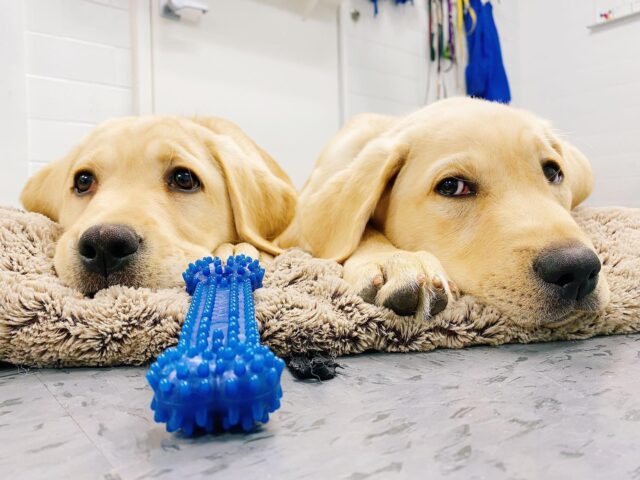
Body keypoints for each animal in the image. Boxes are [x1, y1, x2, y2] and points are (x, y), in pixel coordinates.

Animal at [280, 96, 608, 326]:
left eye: (553, 172)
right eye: (452, 187)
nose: (578, 268)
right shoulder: (295, 227)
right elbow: (360, 231)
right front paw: (395, 262)